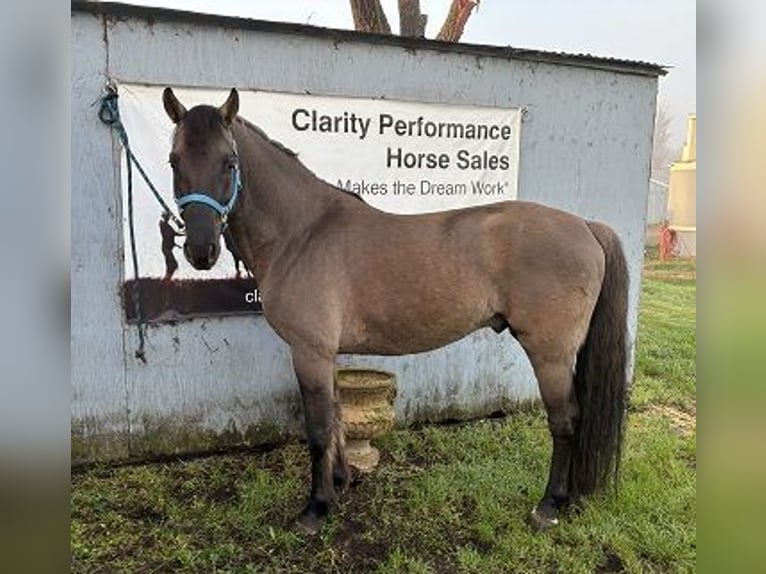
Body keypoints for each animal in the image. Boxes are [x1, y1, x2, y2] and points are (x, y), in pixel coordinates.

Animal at [161, 87, 629, 536]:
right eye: (174, 160)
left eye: (229, 162)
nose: (201, 251)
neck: (302, 233)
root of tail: (585, 226)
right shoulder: (327, 354)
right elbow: (336, 420)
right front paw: (340, 485)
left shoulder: (309, 351)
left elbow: (318, 429)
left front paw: (315, 510)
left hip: (550, 354)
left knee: (565, 420)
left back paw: (548, 506)